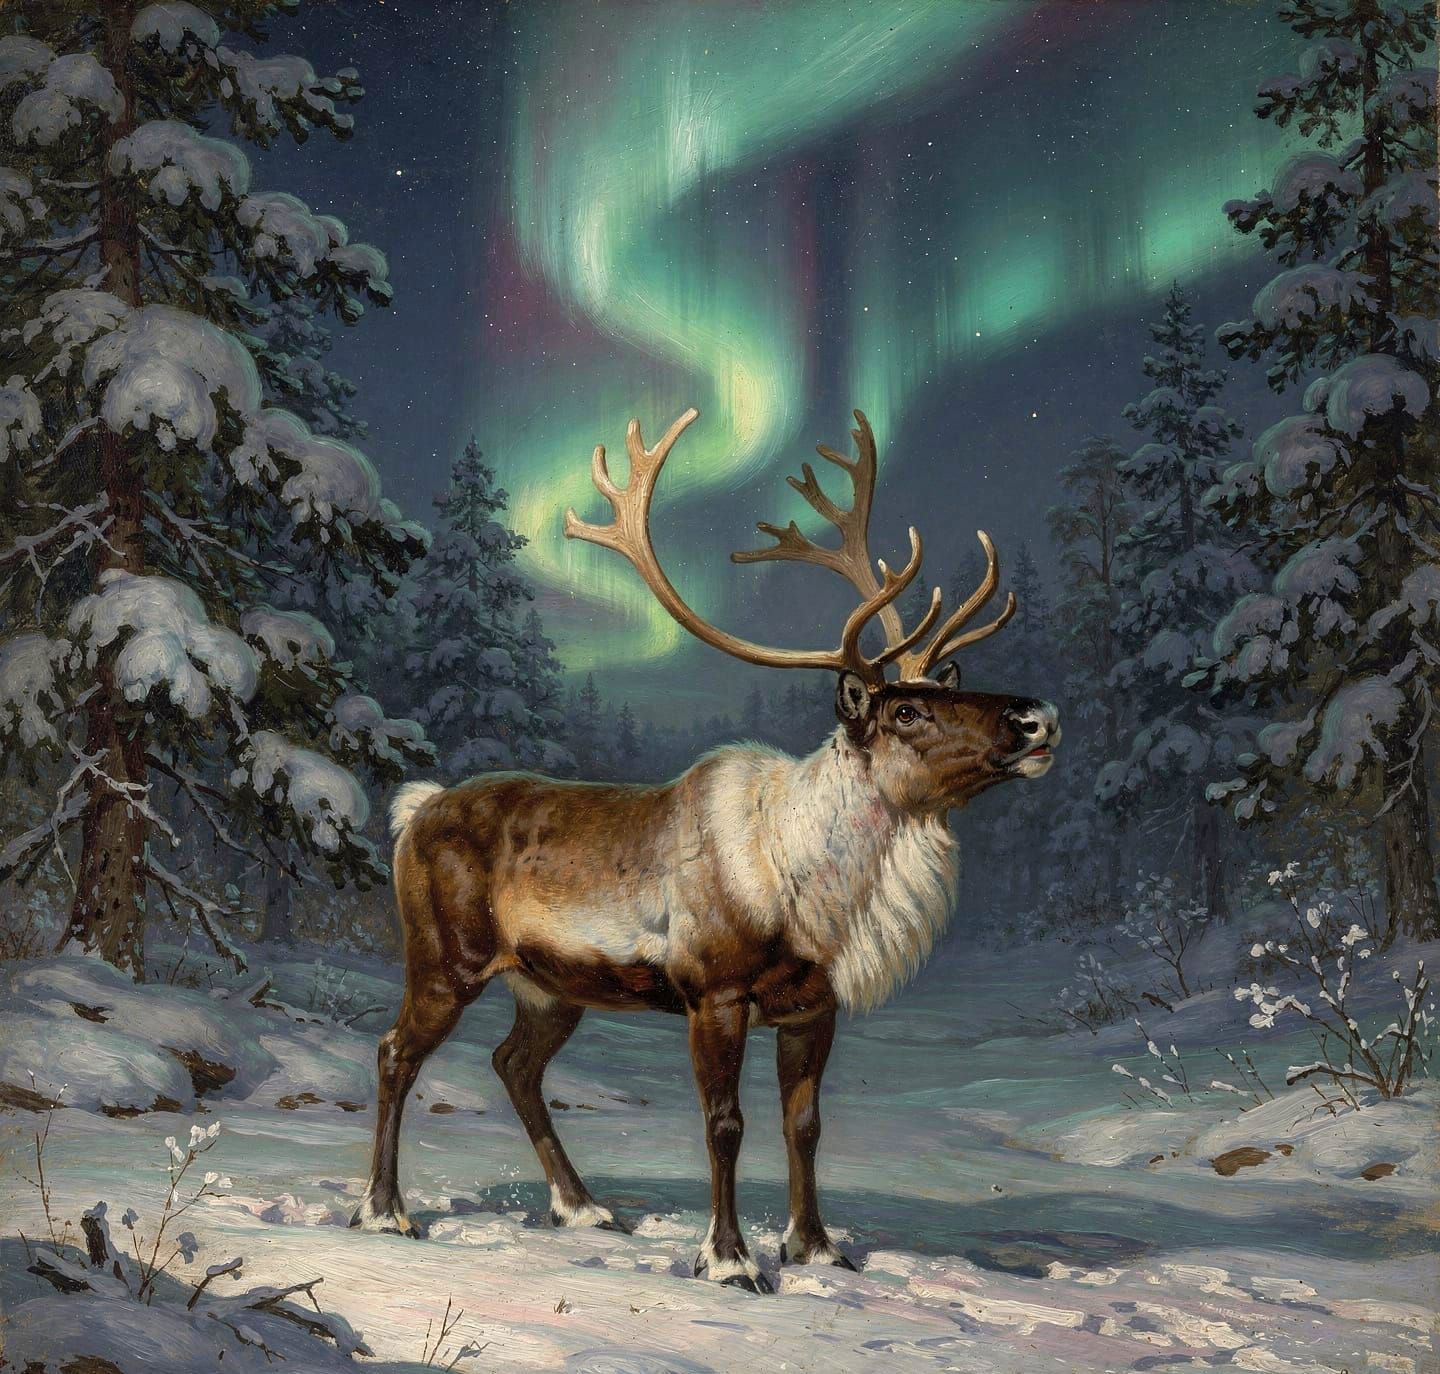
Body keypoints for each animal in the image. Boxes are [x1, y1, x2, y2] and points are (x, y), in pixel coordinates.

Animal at [351, 406, 1060, 1293]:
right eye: (905, 712)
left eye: (941, 690)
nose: (1037, 716)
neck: (812, 890)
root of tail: (415, 809)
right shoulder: (713, 993)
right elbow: (725, 1123)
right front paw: (729, 1260)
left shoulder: (813, 1006)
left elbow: (805, 1125)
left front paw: (817, 1249)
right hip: (447, 958)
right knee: (394, 1053)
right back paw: (385, 1212)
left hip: (549, 985)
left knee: (514, 1064)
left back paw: (583, 1208)